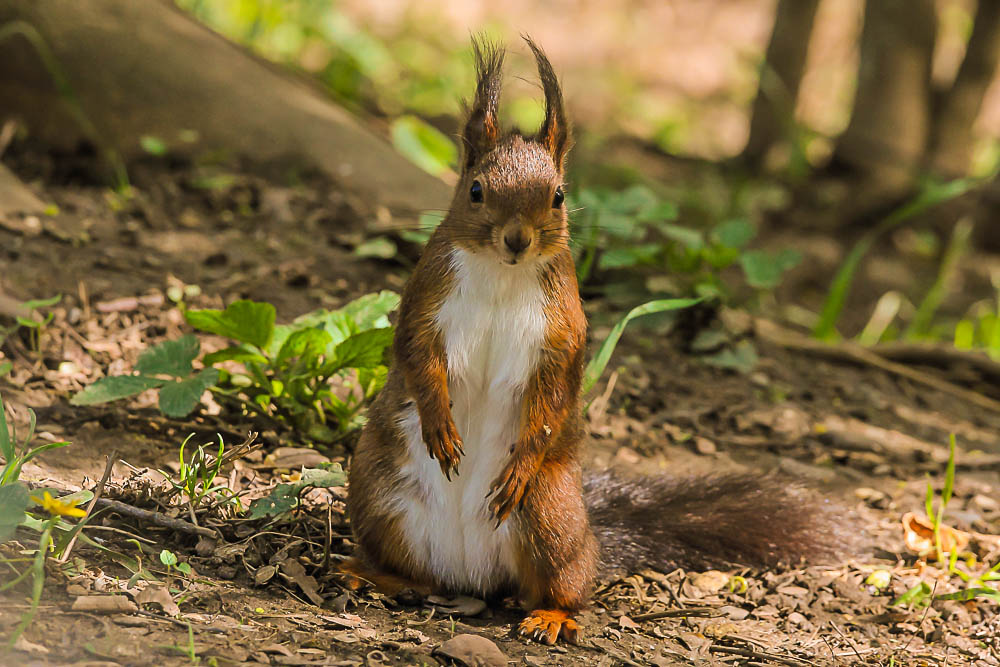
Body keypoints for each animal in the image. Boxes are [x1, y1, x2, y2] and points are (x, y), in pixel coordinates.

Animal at [342, 37, 844, 648]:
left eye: (559, 196)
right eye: (475, 190)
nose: (517, 238)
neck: (503, 273)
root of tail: (469, 574)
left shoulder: (563, 332)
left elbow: (555, 392)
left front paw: (521, 458)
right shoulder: (425, 300)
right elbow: (417, 354)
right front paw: (440, 422)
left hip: (550, 518)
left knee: (565, 584)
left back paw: (551, 616)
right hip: (377, 495)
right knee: (411, 569)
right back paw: (372, 575)